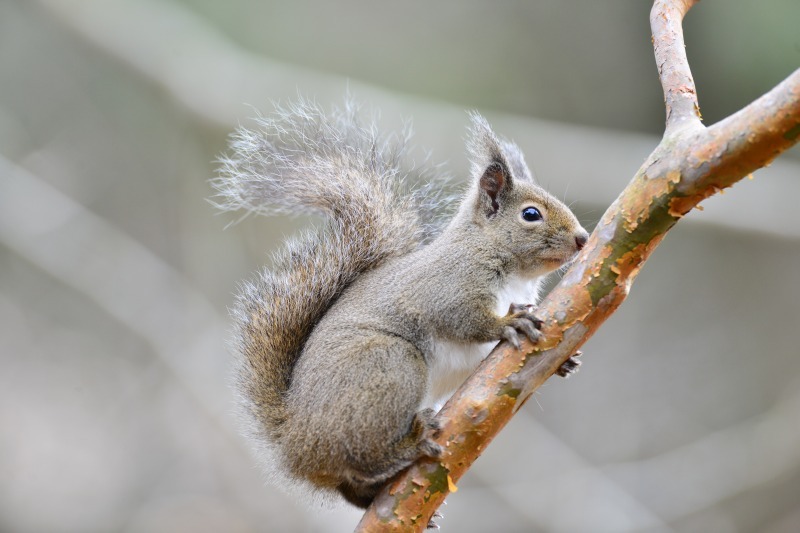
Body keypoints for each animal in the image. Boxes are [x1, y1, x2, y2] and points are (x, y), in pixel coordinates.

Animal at [212, 97, 588, 510]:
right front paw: (507, 323)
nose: (584, 238)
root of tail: (295, 443)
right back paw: (412, 445)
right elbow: (464, 319)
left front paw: (564, 360)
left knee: (350, 485)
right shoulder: (448, 286)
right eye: (531, 214)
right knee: (363, 455)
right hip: (390, 366)